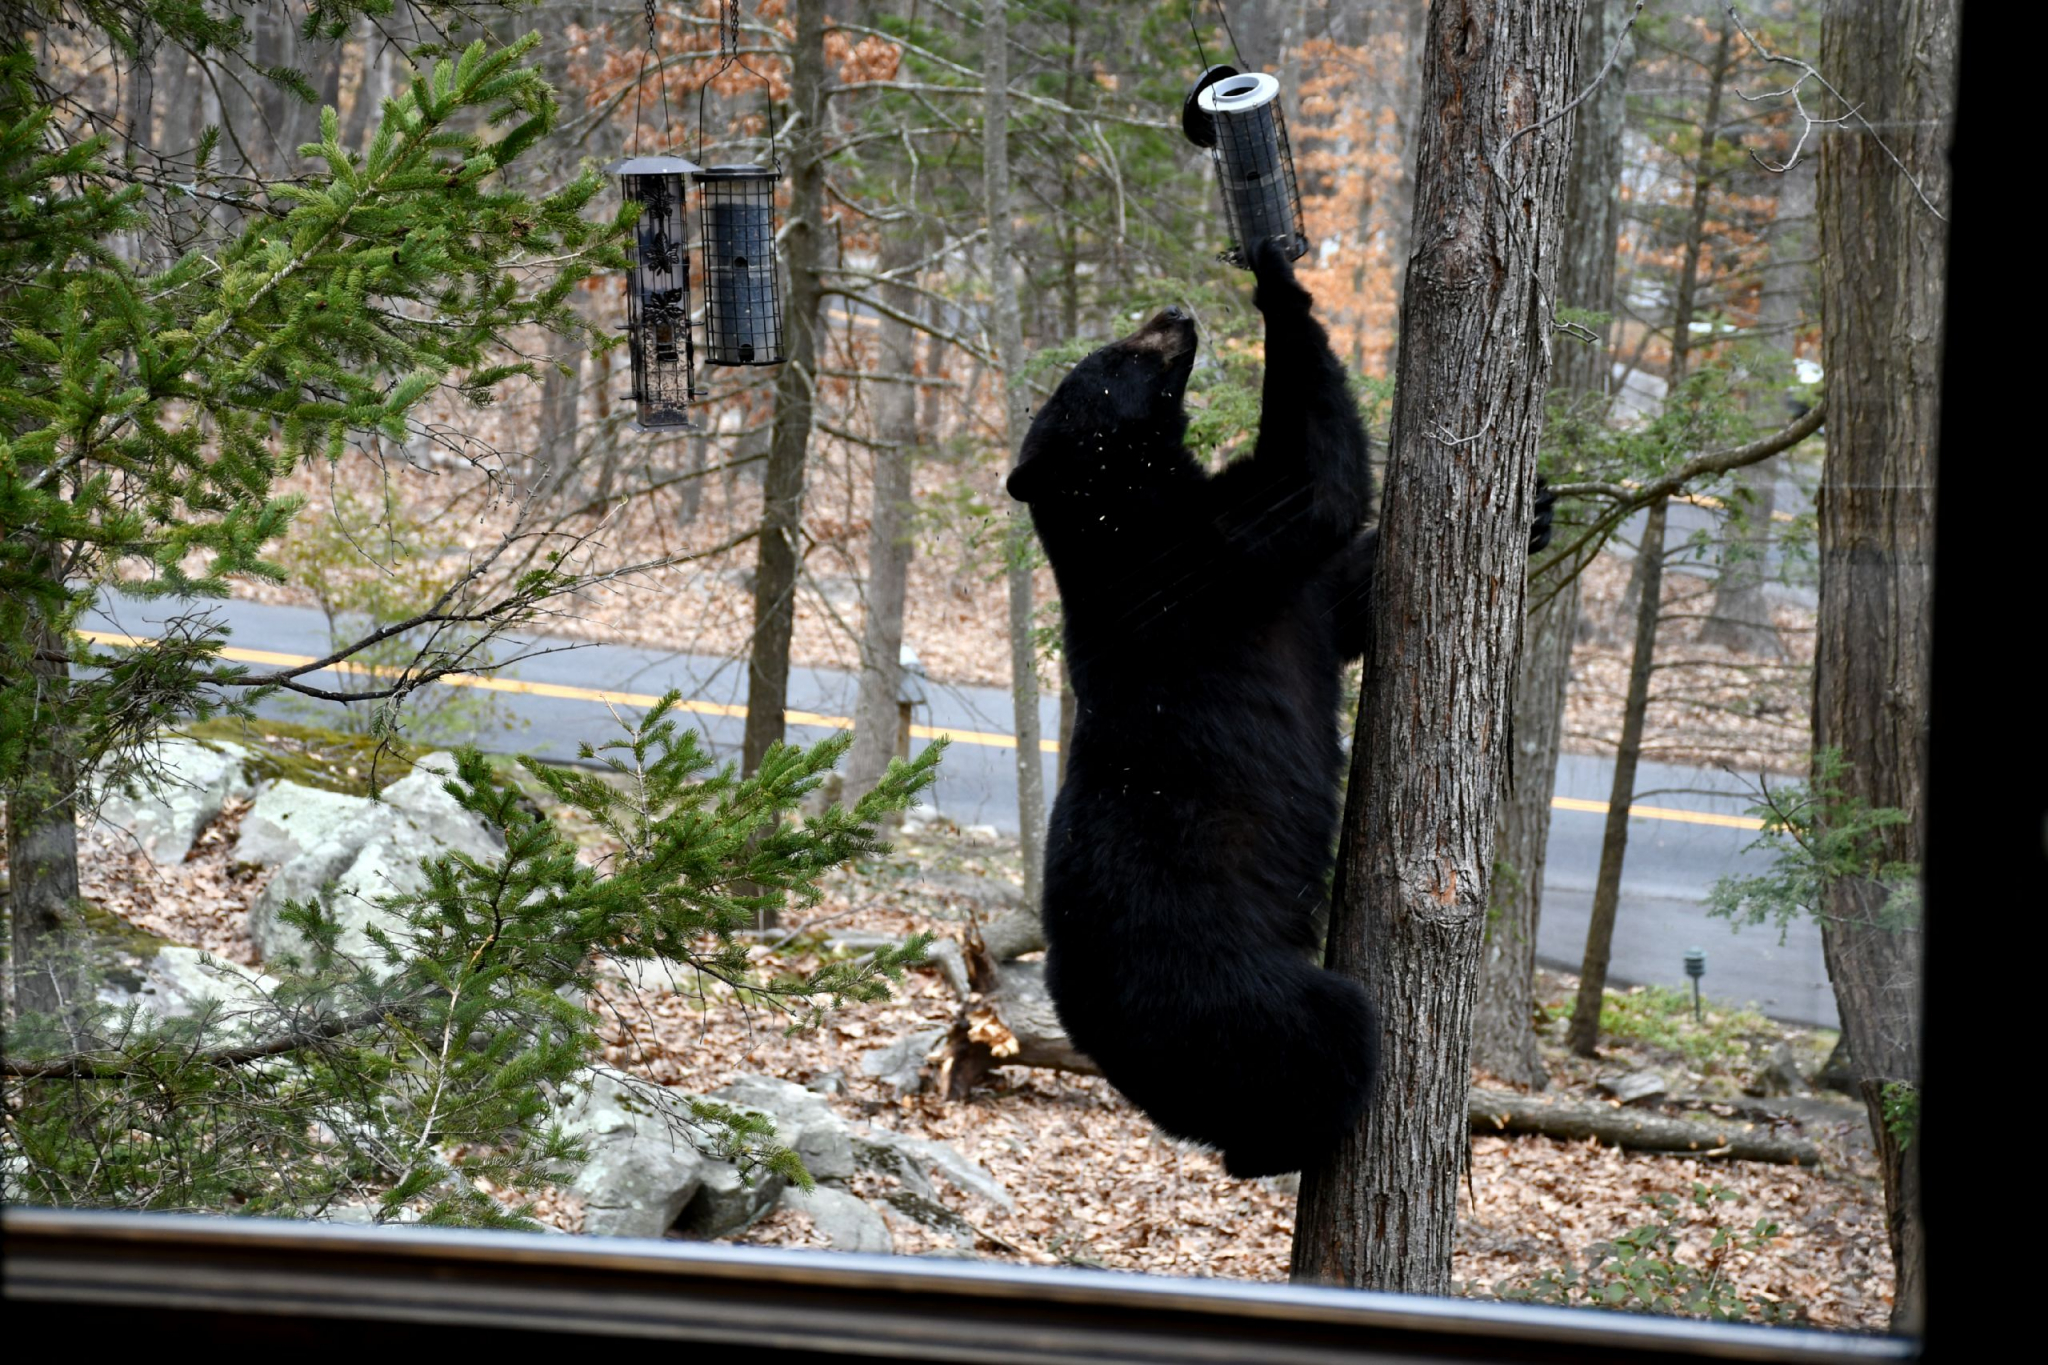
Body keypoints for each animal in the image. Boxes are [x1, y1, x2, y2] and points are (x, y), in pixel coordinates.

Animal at [1005, 238, 1552, 1178]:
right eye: (1118, 356)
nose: (1174, 313)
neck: (1118, 522)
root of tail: (1097, 1036)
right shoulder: (1208, 562)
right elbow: (1312, 485)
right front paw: (1278, 283)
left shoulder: (1234, 572)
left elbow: (1340, 600)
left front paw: (1541, 509)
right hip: (1234, 992)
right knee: (1324, 1033)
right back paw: (1335, 1118)